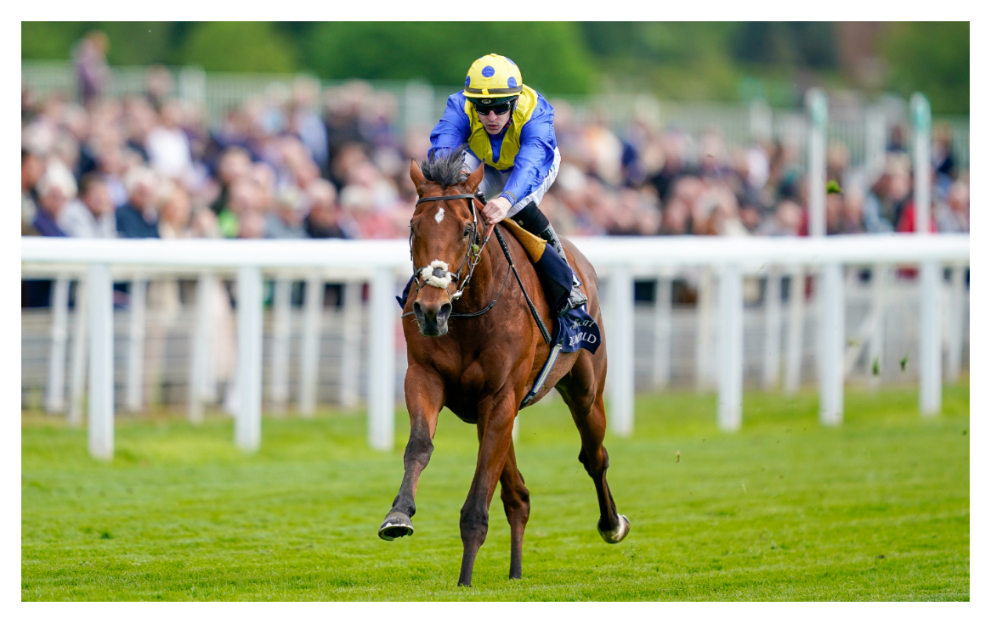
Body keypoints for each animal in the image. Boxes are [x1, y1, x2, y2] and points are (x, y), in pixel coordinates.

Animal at [380, 149, 628, 588]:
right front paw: (398, 514)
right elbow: (420, 445)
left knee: (594, 456)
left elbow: (481, 489)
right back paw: (515, 572)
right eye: (413, 227)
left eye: (466, 230)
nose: (430, 310)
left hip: (584, 389)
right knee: (518, 495)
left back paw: (612, 524)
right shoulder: (425, 378)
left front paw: (464, 580)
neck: (468, 310)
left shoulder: (500, 396)